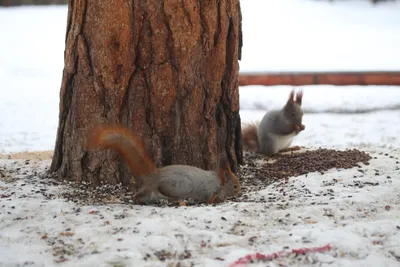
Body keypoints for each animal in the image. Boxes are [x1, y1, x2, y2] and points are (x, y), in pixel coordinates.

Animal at [85, 124, 241, 206]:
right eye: (234, 186)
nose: (239, 191)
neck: (219, 181)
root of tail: (154, 176)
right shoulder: (208, 188)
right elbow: (208, 199)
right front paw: (216, 200)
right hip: (176, 186)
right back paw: (180, 202)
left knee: (142, 194)